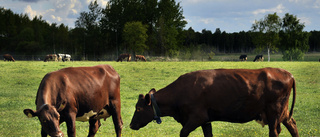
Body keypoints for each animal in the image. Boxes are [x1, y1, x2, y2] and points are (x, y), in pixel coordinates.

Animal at [129, 67, 298, 137]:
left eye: (138, 109)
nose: (131, 125)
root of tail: (288, 74)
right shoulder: (206, 120)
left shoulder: (197, 118)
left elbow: (183, 133)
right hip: (282, 113)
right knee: (292, 125)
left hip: (274, 112)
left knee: (274, 132)